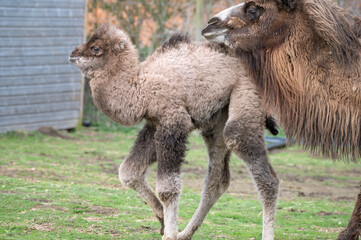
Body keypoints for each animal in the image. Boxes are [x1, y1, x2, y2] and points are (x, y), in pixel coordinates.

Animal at [70, 23, 278, 240]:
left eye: (96, 48)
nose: (73, 53)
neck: (140, 88)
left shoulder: (173, 121)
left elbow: (167, 188)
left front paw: (169, 233)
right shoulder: (155, 123)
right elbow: (128, 172)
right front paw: (162, 219)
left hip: (247, 97)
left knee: (261, 170)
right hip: (216, 120)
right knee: (217, 180)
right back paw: (186, 233)